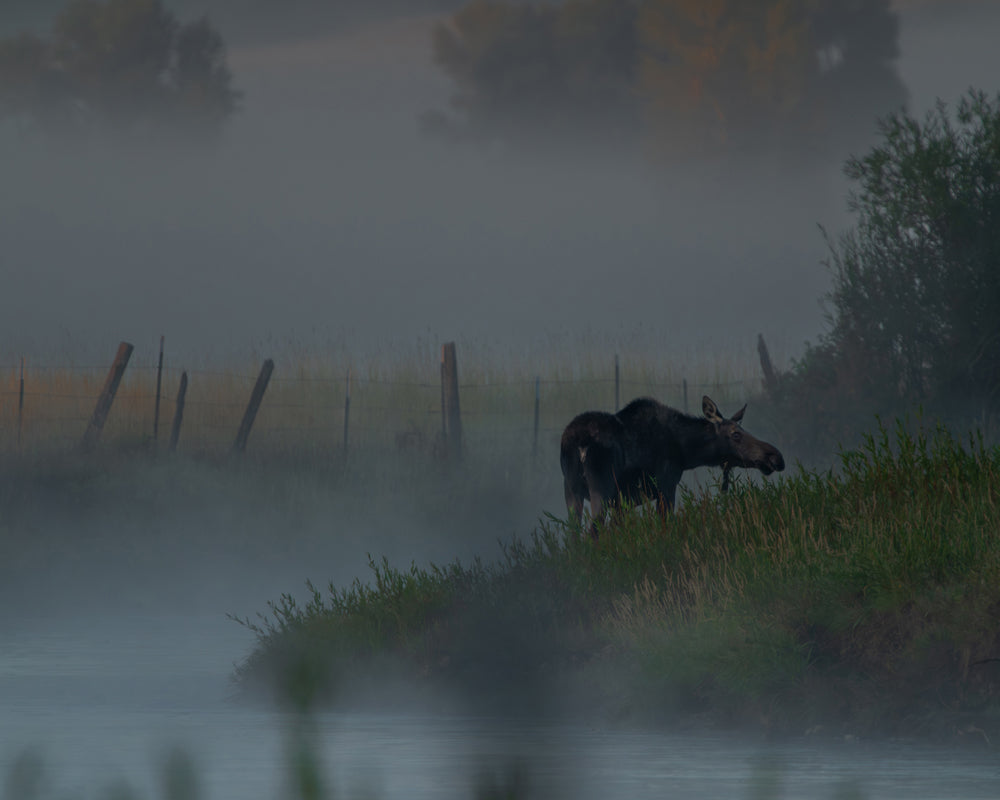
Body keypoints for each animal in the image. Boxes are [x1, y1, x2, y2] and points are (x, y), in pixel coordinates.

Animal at [560, 396, 784, 536]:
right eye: (736, 434)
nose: (775, 456)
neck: (685, 451)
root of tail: (579, 442)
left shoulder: (621, 502)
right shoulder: (666, 486)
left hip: (572, 490)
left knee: (573, 534)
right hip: (601, 489)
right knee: (592, 531)